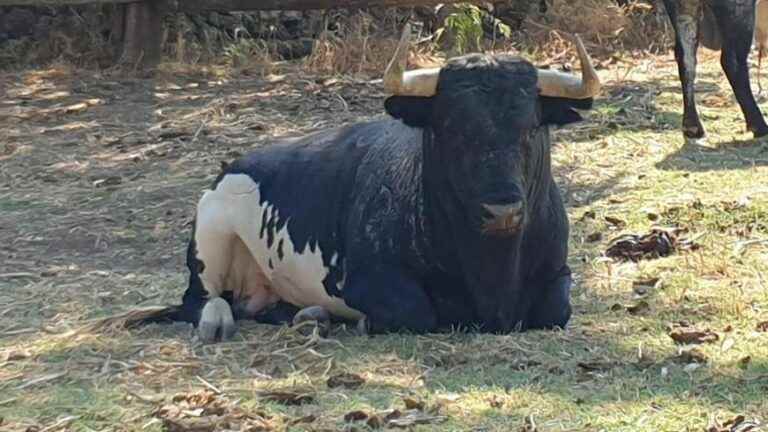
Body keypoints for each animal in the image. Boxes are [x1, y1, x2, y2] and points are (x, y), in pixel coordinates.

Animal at [148, 27, 600, 344]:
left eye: (532, 127)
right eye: (451, 128)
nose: (501, 209)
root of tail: (234, 165)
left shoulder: (557, 272)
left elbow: (556, 310)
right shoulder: (366, 279)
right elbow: (416, 311)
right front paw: (365, 321)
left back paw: (308, 315)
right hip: (211, 234)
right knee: (200, 299)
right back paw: (219, 322)